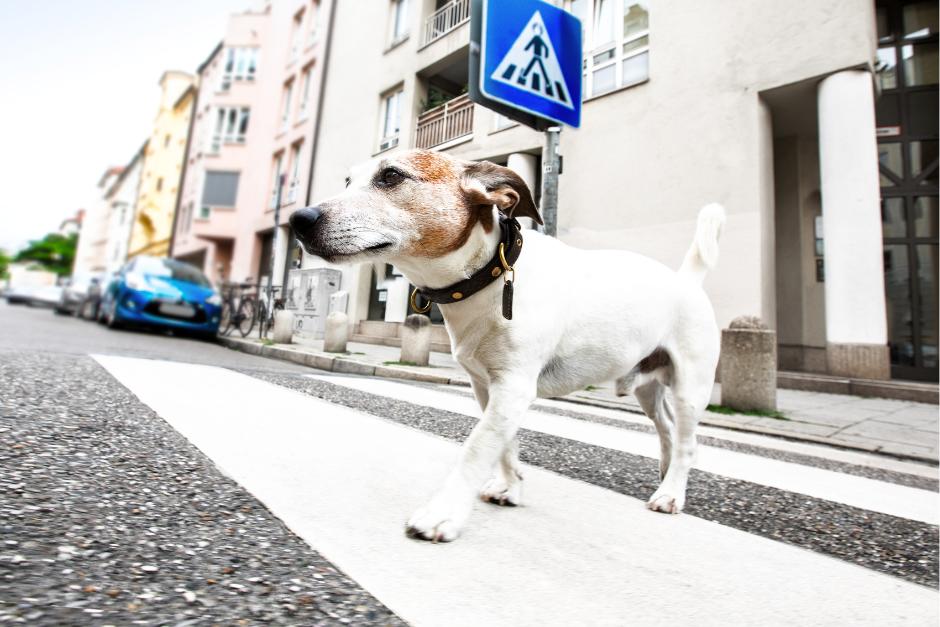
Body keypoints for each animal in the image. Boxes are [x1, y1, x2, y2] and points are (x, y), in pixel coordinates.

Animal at [290, 150, 724, 544]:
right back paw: (665, 475)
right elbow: (503, 446)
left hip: (691, 388)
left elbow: (477, 447)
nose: (298, 219)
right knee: (667, 428)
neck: (489, 275)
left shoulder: (513, 387)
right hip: (646, 386)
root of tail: (688, 279)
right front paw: (510, 487)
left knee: (688, 443)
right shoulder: (487, 386)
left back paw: (671, 494)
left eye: (391, 176)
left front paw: (442, 513)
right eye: (348, 181)